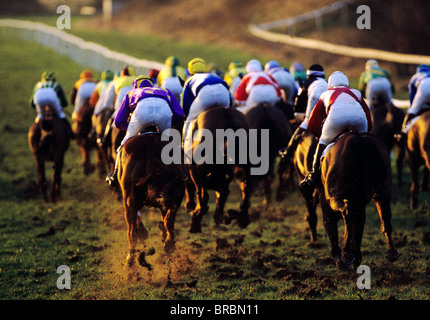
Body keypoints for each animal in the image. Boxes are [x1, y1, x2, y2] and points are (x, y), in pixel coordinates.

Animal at [320, 131, 400, 268]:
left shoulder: (327, 202)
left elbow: (331, 225)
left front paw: (340, 259)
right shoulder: (360, 201)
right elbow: (358, 226)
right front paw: (356, 257)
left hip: (335, 196)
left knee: (346, 213)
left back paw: (346, 255)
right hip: (382, 192)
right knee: (385, 220)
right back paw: (391, 253)